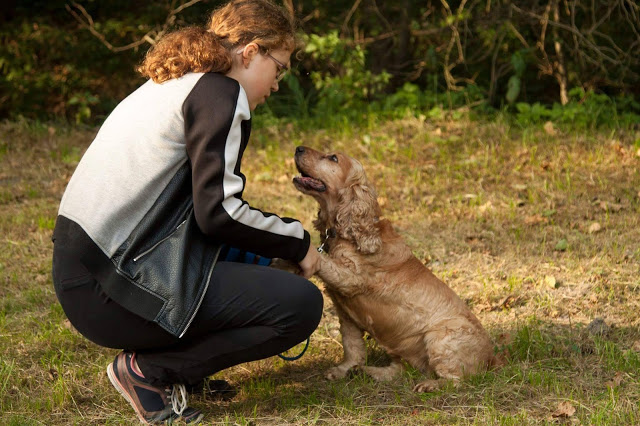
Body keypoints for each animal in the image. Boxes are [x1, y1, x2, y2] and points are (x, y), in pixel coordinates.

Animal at [292, 146, 500, 392]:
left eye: (333, 158)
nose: (298, 148)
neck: (346, 234)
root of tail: (491, 359)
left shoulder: (351, 278)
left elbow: (323, 261)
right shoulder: (346, 314)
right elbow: (352, 346)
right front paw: (344, 370)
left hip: (440, 338)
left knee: (456, 380)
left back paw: (429, 385)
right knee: (400, 370)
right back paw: (368, 372)